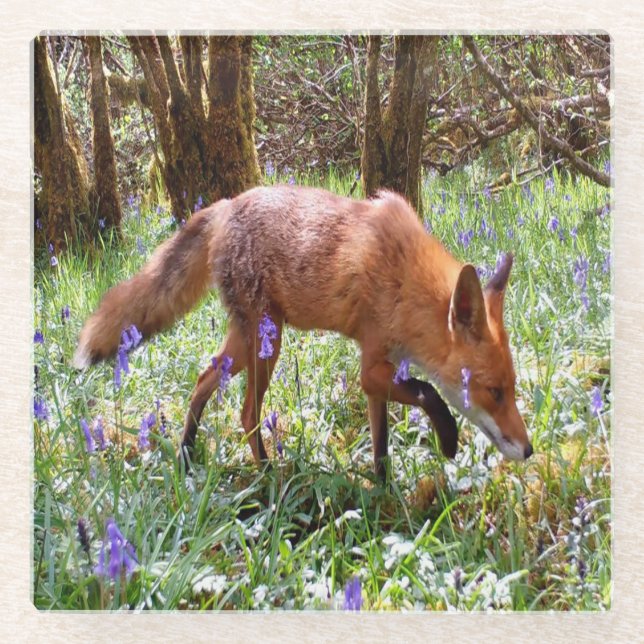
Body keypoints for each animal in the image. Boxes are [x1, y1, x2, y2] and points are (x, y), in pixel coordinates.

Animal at [74, 185, 532, 479]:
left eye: (512, 388)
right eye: (494, 392)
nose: (528, 450)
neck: (404, 278)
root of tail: (225, 204)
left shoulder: (379, 373)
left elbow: (381, 446)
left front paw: (384, 495)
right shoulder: (372, 365)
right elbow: (429, 392)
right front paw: (449, 440)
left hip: (247, 341)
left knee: (204, 379)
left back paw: (188, 456)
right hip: (266, 343)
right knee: (247, 412)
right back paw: (267, 476)